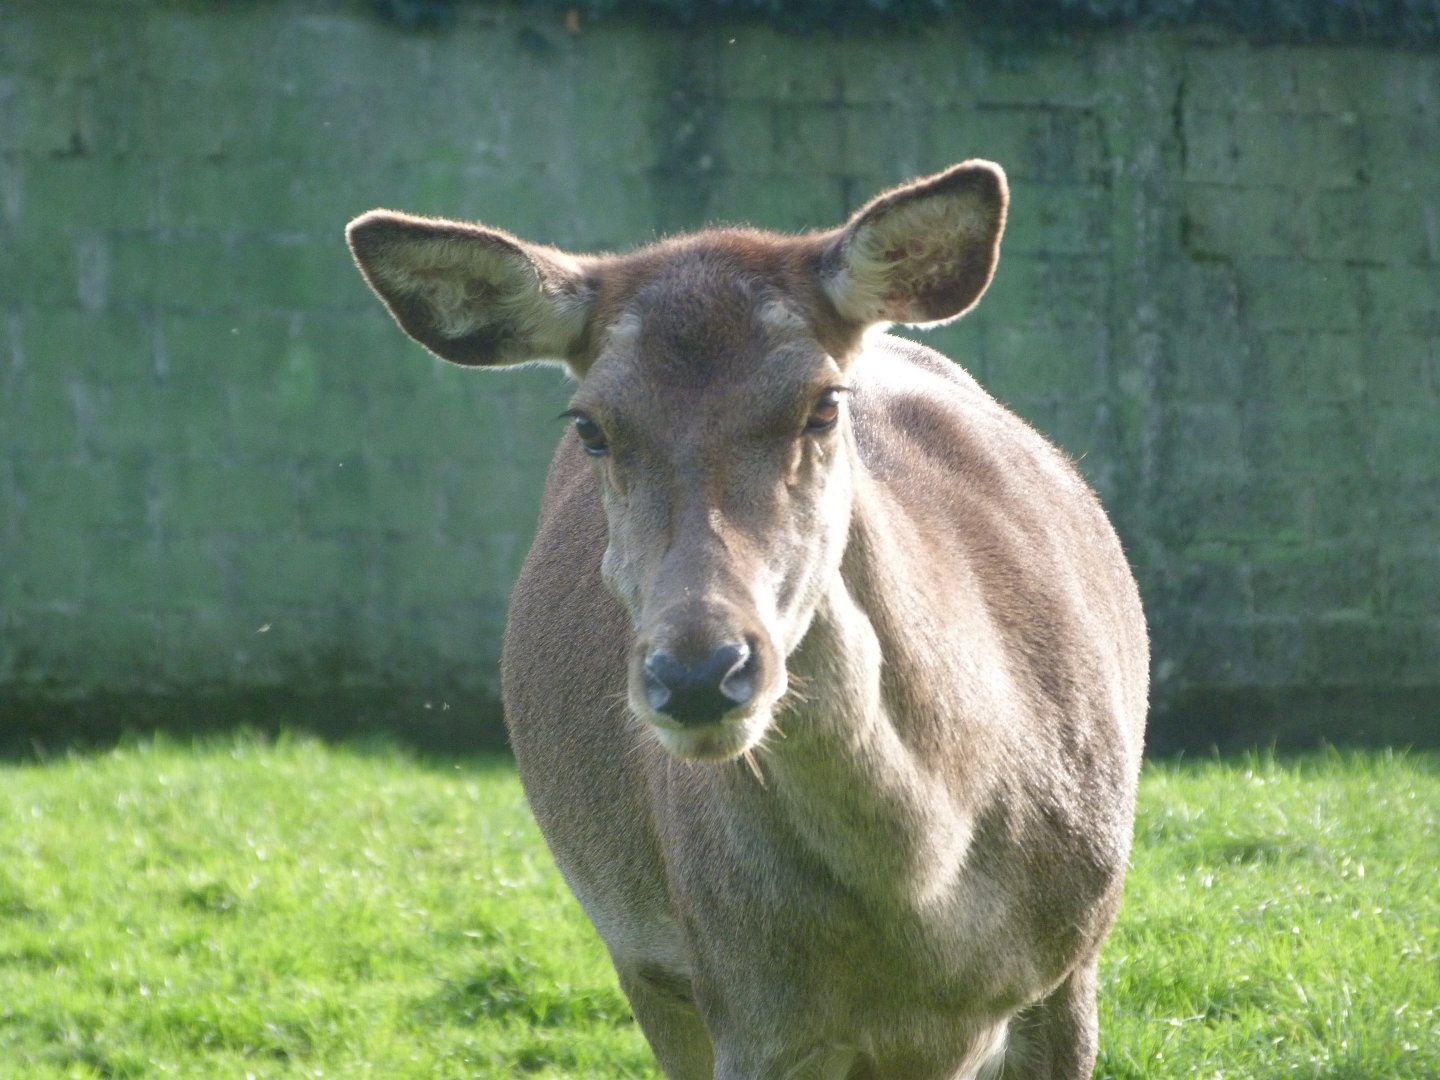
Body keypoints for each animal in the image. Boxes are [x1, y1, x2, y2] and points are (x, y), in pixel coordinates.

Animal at [347, 160, 1149, 1080]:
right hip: (649, 967)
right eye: (591, 426)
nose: (699, 675)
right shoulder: (749, 1006)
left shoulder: (1073, 964)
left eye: (824, 403)